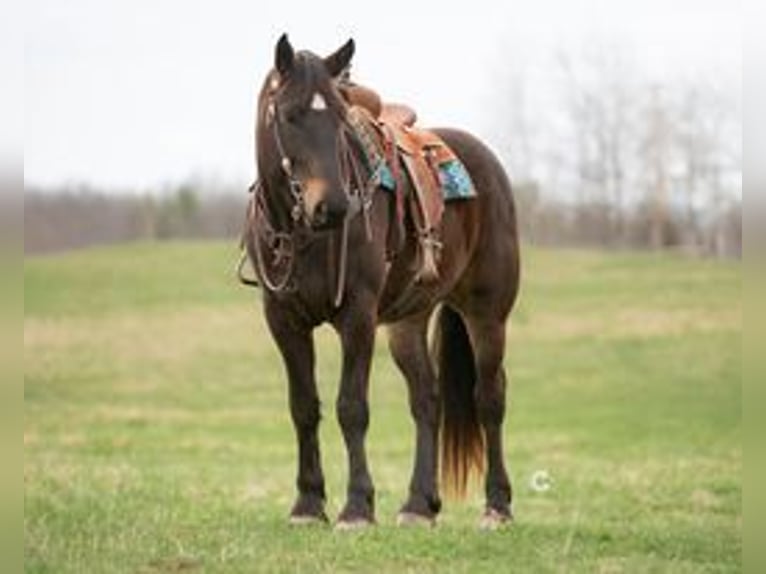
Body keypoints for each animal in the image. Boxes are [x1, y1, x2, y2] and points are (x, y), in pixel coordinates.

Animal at [243, 35, 524, 532]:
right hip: (407, 323)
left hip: (488, 314)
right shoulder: (283, 321)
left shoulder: (357, 316)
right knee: (427, 400)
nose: (333, 206)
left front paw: (356, 507)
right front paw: (307, 504)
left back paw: (497, 506)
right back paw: (418, 505)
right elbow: (304, 407)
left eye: (340, 117)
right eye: (290, 114)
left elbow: (351, 407)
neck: (301, 235)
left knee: (490, 398)